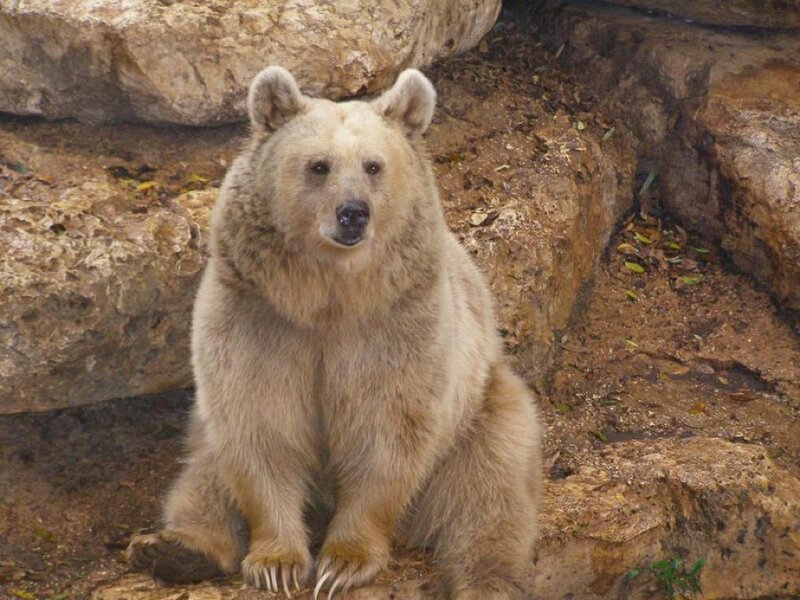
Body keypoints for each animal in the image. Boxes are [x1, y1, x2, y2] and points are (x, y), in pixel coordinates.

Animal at [127, 66, 542, 599]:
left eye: (373, 165)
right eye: (318, 165)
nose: (353, 213)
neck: (330, 297)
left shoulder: (397, 325)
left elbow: (386, 432)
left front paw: (343, 561)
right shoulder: (258, 318)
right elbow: (259, 427)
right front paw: (277, 561)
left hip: (480, 409)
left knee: (490, 487)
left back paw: (487, 579)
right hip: (203, 425)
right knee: (202, 473)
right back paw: (174, 549)